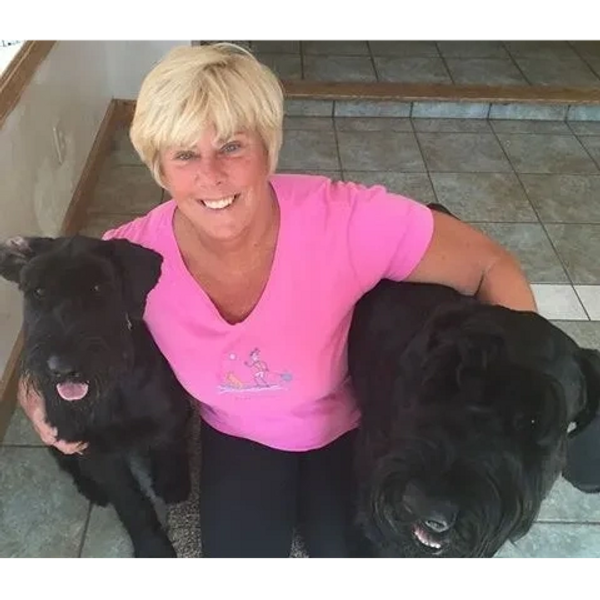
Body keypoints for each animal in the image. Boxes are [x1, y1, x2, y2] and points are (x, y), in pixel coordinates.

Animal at [0, 234, 192, 561]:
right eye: (38, 291)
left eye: (99, 288)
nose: (62, 368)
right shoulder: (98, 452)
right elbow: (130, 503)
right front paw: (153, 548)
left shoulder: (169, 412)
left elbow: (170, 444)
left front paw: (173, 482)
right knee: (66, 462)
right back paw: (92, 488)